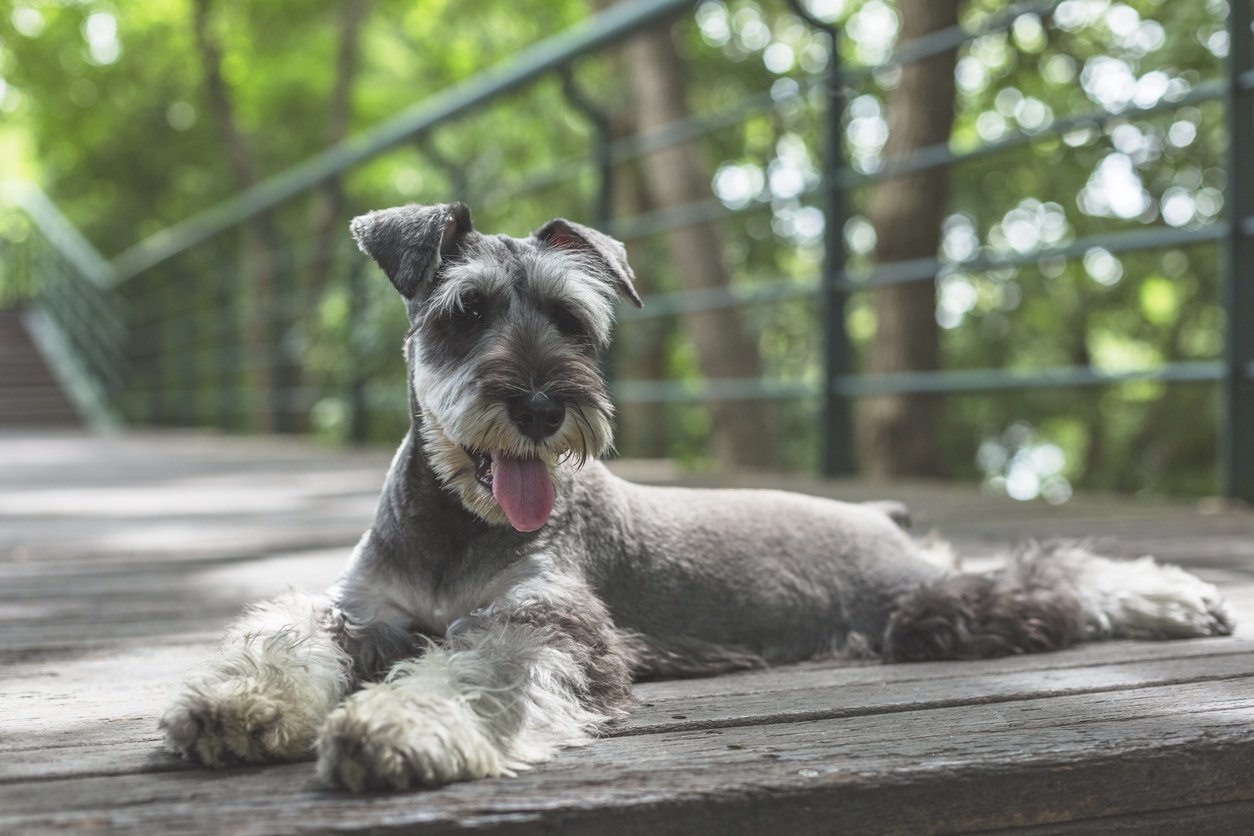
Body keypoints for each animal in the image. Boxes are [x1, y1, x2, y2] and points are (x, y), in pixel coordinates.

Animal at [161, 200, 1238, 792]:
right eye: (465, 311)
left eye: (573, 321)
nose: (543, 405)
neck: (454, 524)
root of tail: (877, 515)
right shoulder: (362, 610)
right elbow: (289, 632)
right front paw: (236, 704)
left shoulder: (543, 624)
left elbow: (469, 672)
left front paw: (393, 725)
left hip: (918, 603)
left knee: (1046, 574)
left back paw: (1177, 595)